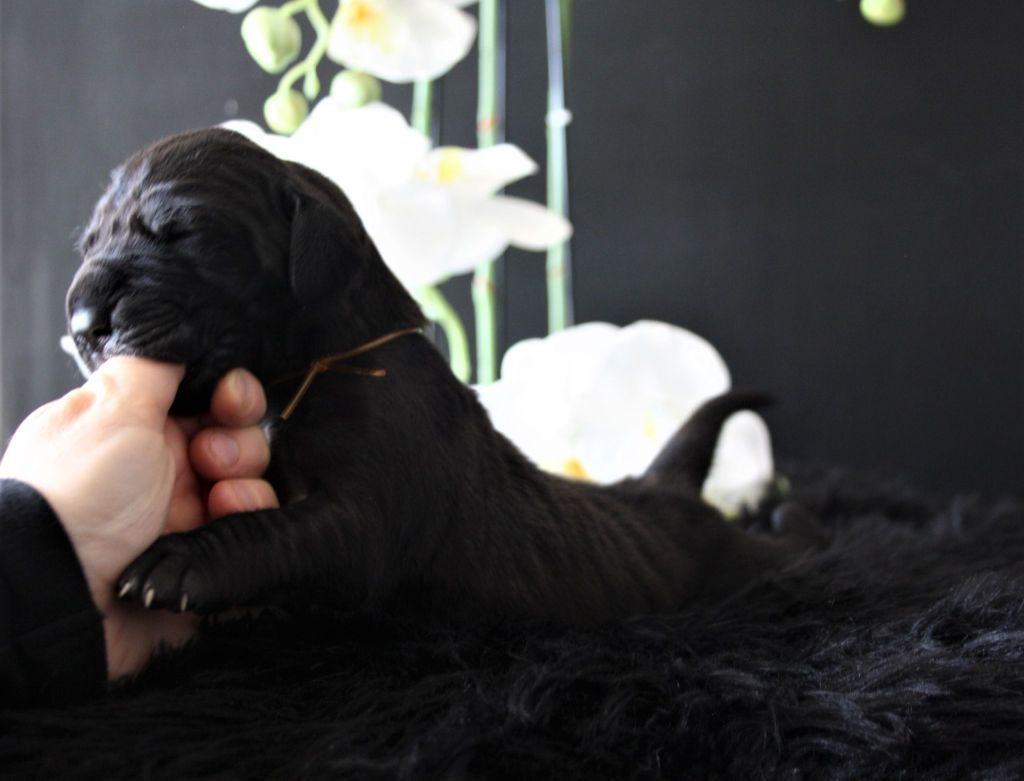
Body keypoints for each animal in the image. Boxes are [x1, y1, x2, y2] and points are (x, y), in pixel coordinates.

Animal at [65, 128, 817, 626]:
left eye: (180, 231)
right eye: (90, 242)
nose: (80, 323)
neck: (318, 364)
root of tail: (667, 488)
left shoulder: (372, 510)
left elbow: (276, 531)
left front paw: (180, 560)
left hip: (744, 562)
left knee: (794, 547)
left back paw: (785, 512)